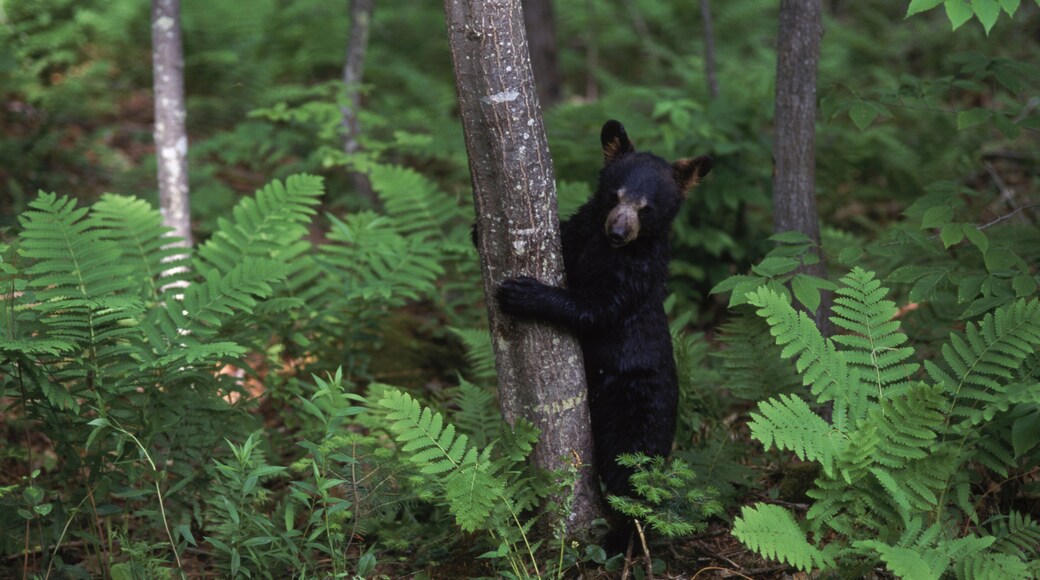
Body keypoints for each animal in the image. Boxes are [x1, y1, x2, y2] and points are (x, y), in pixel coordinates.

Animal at [496, 120, 713, 500]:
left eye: (646, 208)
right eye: (615, 194)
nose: (618, 231)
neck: (606, 249)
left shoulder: (635, 275)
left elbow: (597, 308)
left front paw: (524, 292)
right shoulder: (581, 234)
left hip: (636, 409)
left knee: (630, 469)